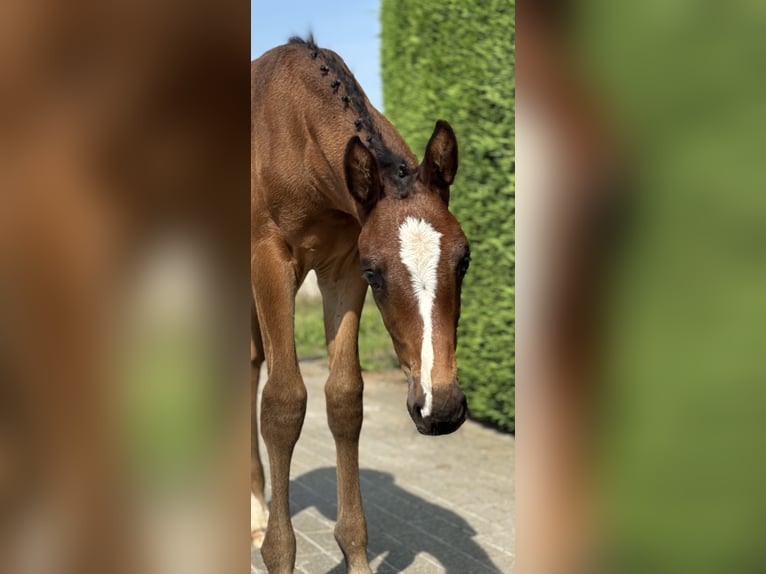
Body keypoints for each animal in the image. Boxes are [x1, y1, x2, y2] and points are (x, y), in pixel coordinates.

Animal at [252, 38, 472, 572]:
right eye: (378, 273)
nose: (440, 409)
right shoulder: (270, 259)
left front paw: (355, 552)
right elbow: (283, 402)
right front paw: (277, 553)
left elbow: (345, 397)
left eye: (465, 260)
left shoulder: (342, 266)